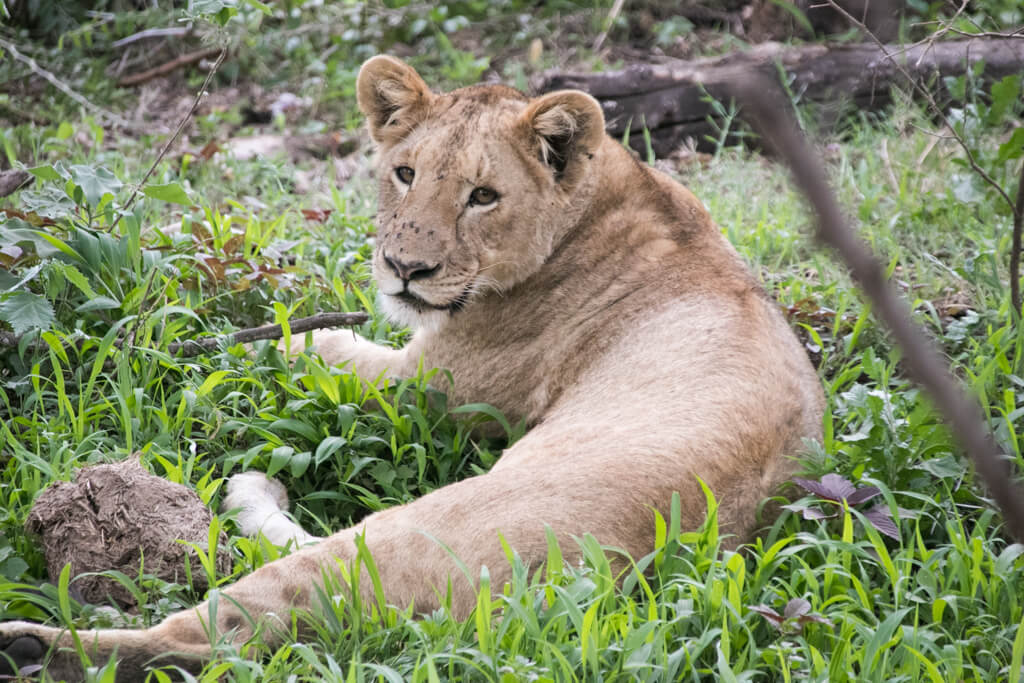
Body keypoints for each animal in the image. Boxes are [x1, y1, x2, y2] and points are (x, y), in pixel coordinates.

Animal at [0, 56, 819, 679]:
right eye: (403, 173)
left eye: (483, 195)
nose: (404, 268)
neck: (608, 201)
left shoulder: (434, 384)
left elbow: (311, 348)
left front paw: (214, 338)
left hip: (401, 535)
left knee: (215, 635)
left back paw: (37, 644)